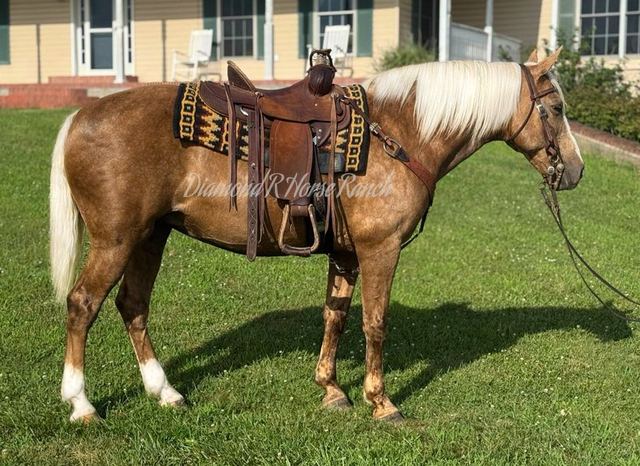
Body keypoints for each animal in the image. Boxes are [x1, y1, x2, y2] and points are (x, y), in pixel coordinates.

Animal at [49, 48, 583, 423]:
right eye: (556, 107)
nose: (576, 171)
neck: (401, 133)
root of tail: (79, 117)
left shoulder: (345, 252)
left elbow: (336, 317)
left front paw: (330, 389)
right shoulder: (380, 249)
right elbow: (374, 323)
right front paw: (381, 402)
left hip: (150, 236)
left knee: (132, 306)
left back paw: (165, 392)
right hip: (117, 240)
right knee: (83, 304)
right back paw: (81, 404)